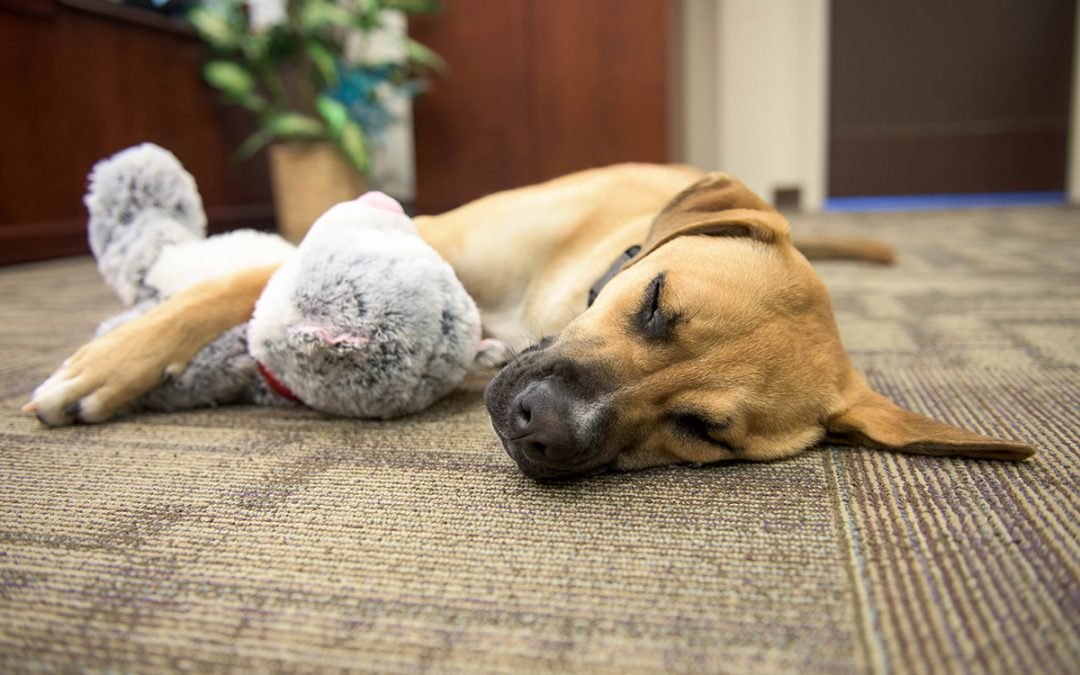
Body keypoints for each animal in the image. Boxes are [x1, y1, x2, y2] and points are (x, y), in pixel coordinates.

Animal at [29, 164, 1032, 479]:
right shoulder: (431, 237)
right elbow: (232, 285)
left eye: (702, 430)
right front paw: (106, 364)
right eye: (653, 302)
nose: (535, 427)